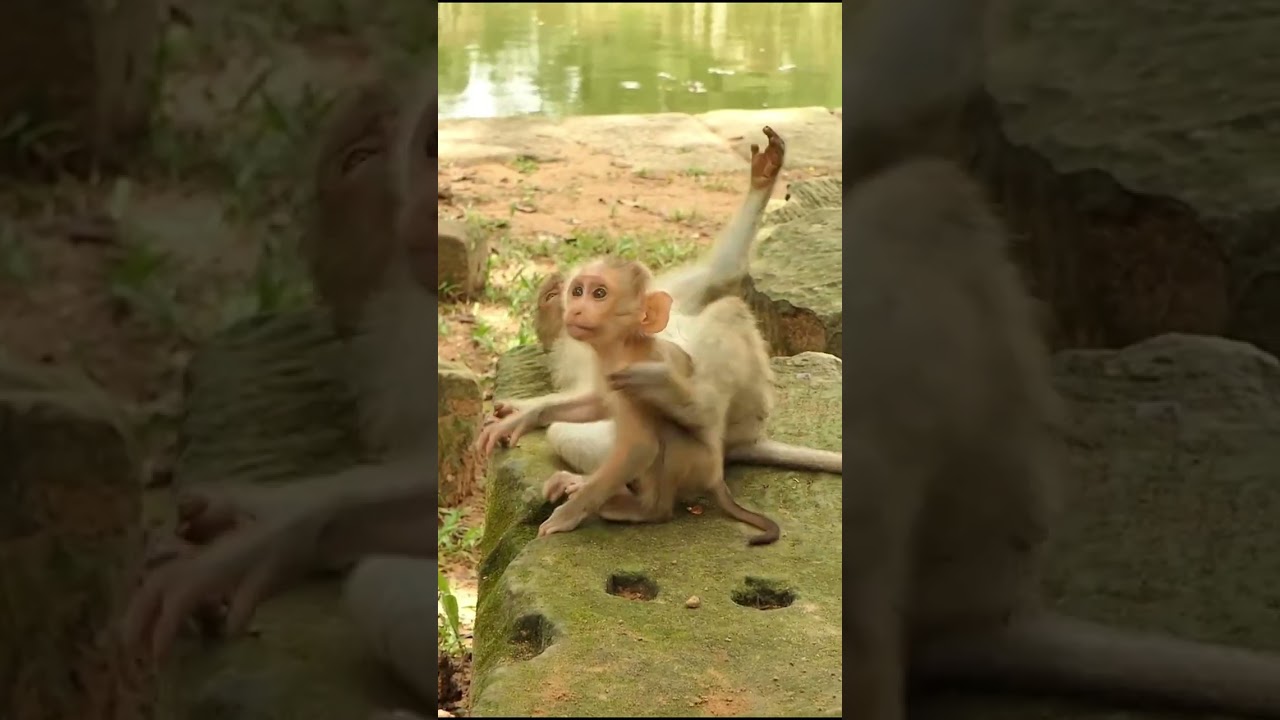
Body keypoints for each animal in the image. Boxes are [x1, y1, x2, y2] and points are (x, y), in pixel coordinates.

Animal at [499, 126, 842, 479]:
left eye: (590, 289)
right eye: (560, 295)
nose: (563, 284)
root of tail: (744, 441)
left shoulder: (662, 293)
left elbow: (721, 272)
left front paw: (765, 171)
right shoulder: (573, 352)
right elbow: (594, 394)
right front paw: (530, 409)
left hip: (749, 403)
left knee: (725, 313)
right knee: (579, 434)